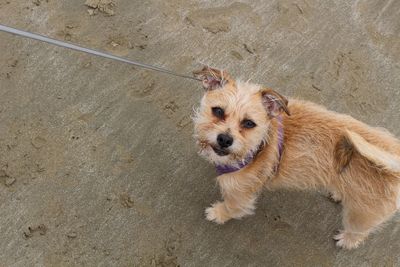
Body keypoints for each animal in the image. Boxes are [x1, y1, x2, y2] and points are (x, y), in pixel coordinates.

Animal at [193, 66, 400, 249]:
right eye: (218, 111)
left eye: (249, 123)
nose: (224, 139)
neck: (260, 143)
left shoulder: (239, 195)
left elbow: (232, 207)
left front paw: (218, 213)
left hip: (360, 216)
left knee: (360, 233)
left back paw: (347, 240)